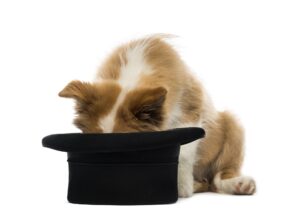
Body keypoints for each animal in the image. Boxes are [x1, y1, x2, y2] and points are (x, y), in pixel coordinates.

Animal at [59, 34, 256, 197]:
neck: (132, 78)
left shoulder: (190, 110)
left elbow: (183, 151)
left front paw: (181, 188)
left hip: (233, 126)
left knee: (218, 177)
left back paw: (238, 184)